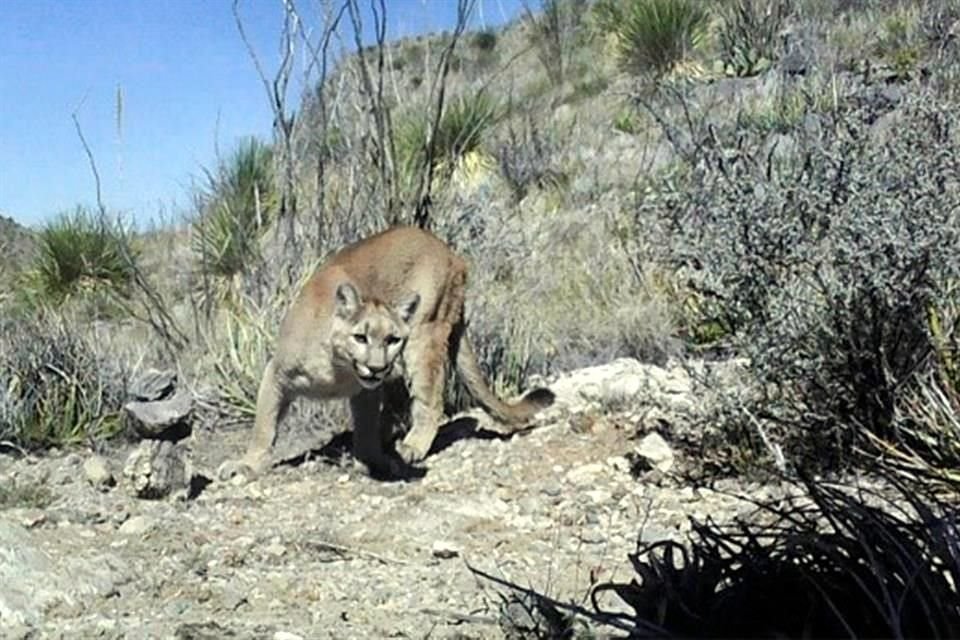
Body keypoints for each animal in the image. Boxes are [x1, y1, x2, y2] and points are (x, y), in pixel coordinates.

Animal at [214, 225, 552, 480]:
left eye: (392, 339)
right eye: (360, 337)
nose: (377, 367)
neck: (337, 367)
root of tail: (450, 252)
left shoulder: (366, 389)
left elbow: (365, 429)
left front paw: (374, 461)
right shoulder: (277, 374)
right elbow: (264, 425)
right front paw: (247, 464)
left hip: (425, 333)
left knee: (431, 400)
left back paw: (411, 447)